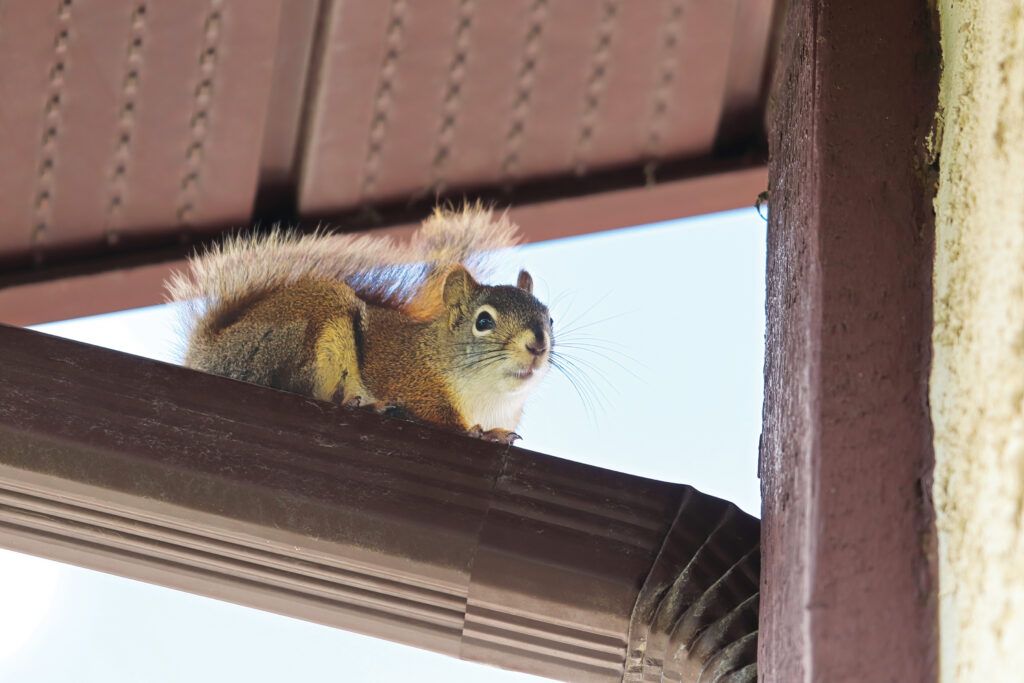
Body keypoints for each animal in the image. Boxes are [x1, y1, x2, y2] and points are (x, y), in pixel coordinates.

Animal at [167, 205, 552, 446]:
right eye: (483, 321)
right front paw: (481, 433)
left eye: (549, 318)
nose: (537, 344)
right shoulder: (415, 383)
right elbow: (439, 417)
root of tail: (210, 352)